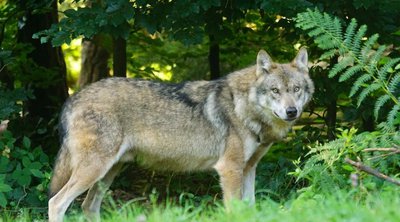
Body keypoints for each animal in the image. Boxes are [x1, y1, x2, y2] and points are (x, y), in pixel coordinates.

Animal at [48, 47, 314, 221]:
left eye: (296, 89)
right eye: (275, 91)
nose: (291, 111)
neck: (244, 107)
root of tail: (73, 98)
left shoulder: (249, 168)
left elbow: (250, 209)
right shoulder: (229, 169)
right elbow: (235, 210)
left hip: (108, 173)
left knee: (88, 207)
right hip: (94, 170)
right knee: (56, 203)